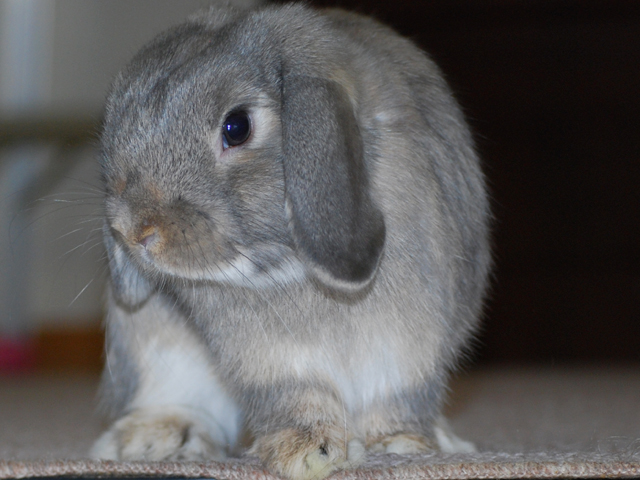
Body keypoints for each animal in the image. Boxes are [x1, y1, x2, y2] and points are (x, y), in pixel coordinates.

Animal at [91, 3, 491, 480]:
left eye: (237, 127)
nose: (134, 230)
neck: (289, 268)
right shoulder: (273, 362)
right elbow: (296, 396)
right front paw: (308, 452)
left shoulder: (407, 349)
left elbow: (395, 399)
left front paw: (401, 445)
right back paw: (158, 440)